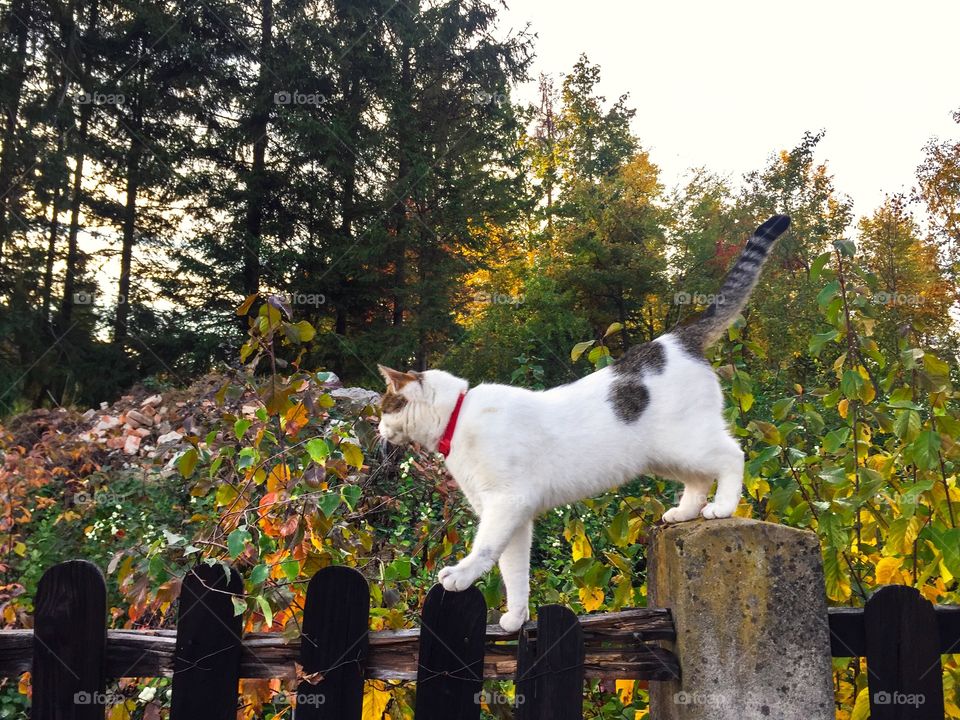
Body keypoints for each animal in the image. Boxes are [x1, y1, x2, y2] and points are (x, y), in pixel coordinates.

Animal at [378, 214, 792, 632]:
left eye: (383, 407)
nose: (378, 427)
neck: (458, 416)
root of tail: (673, 340)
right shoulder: (516, 517)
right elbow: (515, 572)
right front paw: (515, 617)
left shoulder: (505, 503)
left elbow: (486, 549)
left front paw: (460, 576)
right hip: (665, 456)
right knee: (699, 479)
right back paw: (684, 512)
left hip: (687, 442)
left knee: (732, 456)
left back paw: (721, 507)